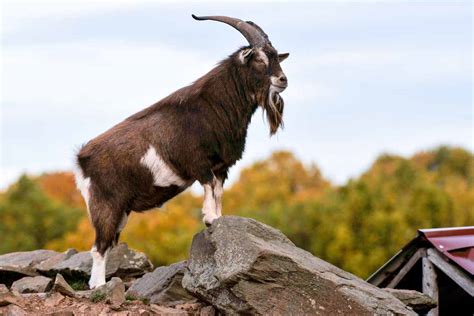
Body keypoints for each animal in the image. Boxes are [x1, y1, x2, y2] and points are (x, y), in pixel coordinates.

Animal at [74, 14, 288, 288]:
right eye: (260, 59)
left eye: (275, 56)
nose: (282, 80)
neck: (213, 105)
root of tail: (82, 159)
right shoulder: (199, 162)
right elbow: (208, 185)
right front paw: (210, 218)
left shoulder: (222, 166)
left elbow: (218, 191)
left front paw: (219, 218)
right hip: (105, 204)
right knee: (99, 246)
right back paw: (100, 285)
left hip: (121, 210)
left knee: (107, 243)